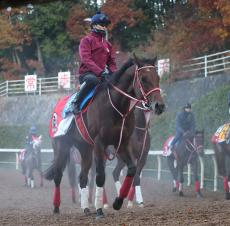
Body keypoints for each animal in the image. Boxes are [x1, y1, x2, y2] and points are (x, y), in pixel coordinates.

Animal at [43, 53, 165, 218]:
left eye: (158, 77)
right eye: (144, 78)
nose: (159, 105)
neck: (115, 106)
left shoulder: (123, 145)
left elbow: (132, 170)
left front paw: (118, 202)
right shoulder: (100, 144)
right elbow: (101, 176)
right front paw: (100, 210)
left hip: (85, 149)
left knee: (82, 177)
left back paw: (85, 207)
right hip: (61, 146)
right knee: (58, 175)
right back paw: (56, 207)